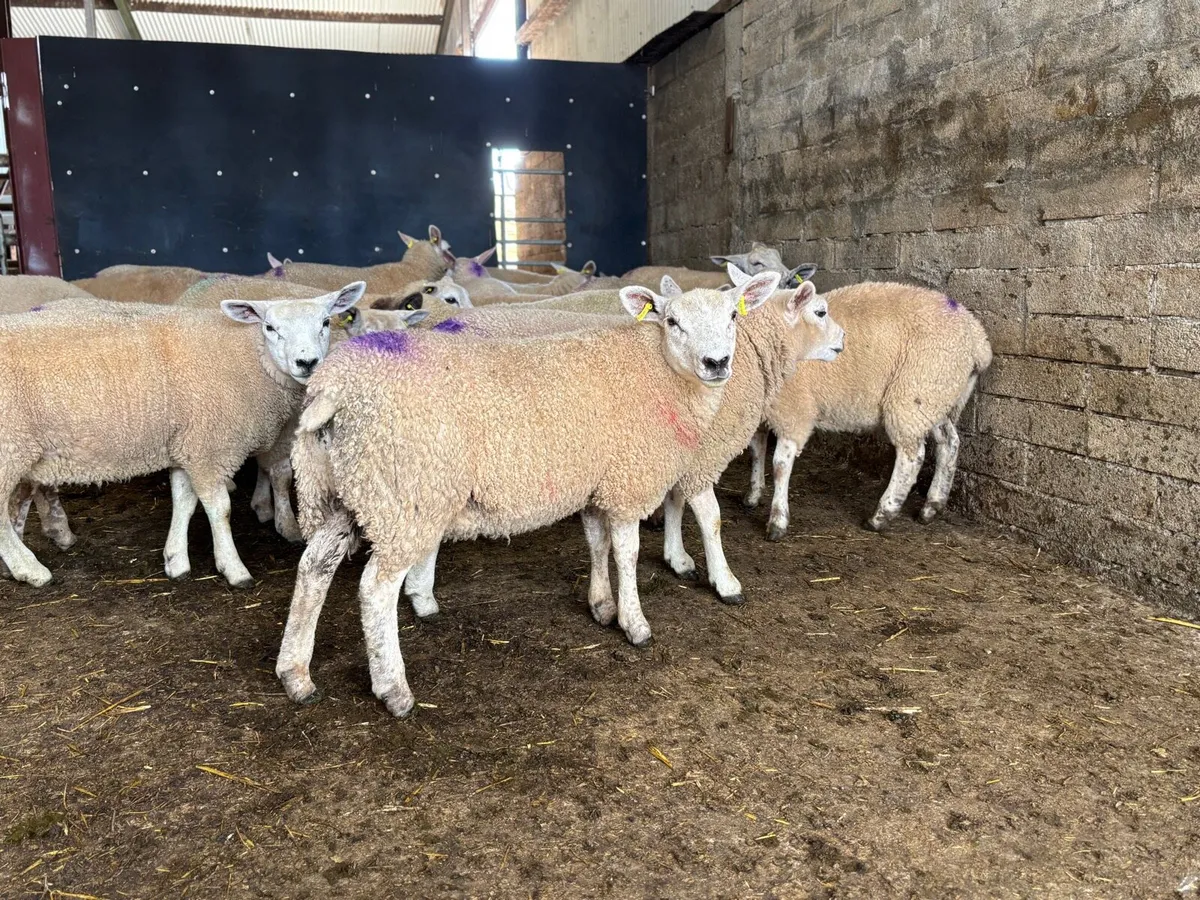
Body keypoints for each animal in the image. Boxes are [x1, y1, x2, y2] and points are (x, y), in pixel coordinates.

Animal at [0, 284, 365, 587]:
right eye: (270, 328)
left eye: (325, 322)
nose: (307, 362)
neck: (250, 357)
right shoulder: (211, 447)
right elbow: (220, 509)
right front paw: (233, 568)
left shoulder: (187, 445)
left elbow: (184, 502)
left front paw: (175, 561)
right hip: (10, 449)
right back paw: (30, 570)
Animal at [275, 270, 783, 716]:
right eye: (673, 321)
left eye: (733, 316)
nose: (717, 363)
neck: (659, 371)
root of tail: (335, 387)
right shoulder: (628, 480)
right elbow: (628, 552)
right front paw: (635, 623)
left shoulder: (594, 482)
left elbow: (597, 543)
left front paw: (601, 606)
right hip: (404, 494)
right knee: (374, 589)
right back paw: (393, 689)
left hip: (347, 488)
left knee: (314, 567)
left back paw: (296, 674)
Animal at [743, 282, 993, 538]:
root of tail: (978, 340)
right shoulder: (759, 412)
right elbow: (756, 450)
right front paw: (753, 495)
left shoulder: (793, 412)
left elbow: (780, 465)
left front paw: (777, 520)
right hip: (935, 397)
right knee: (949, 442)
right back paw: (932, 506)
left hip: (913, 393)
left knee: (912, 455)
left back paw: (882, 515)